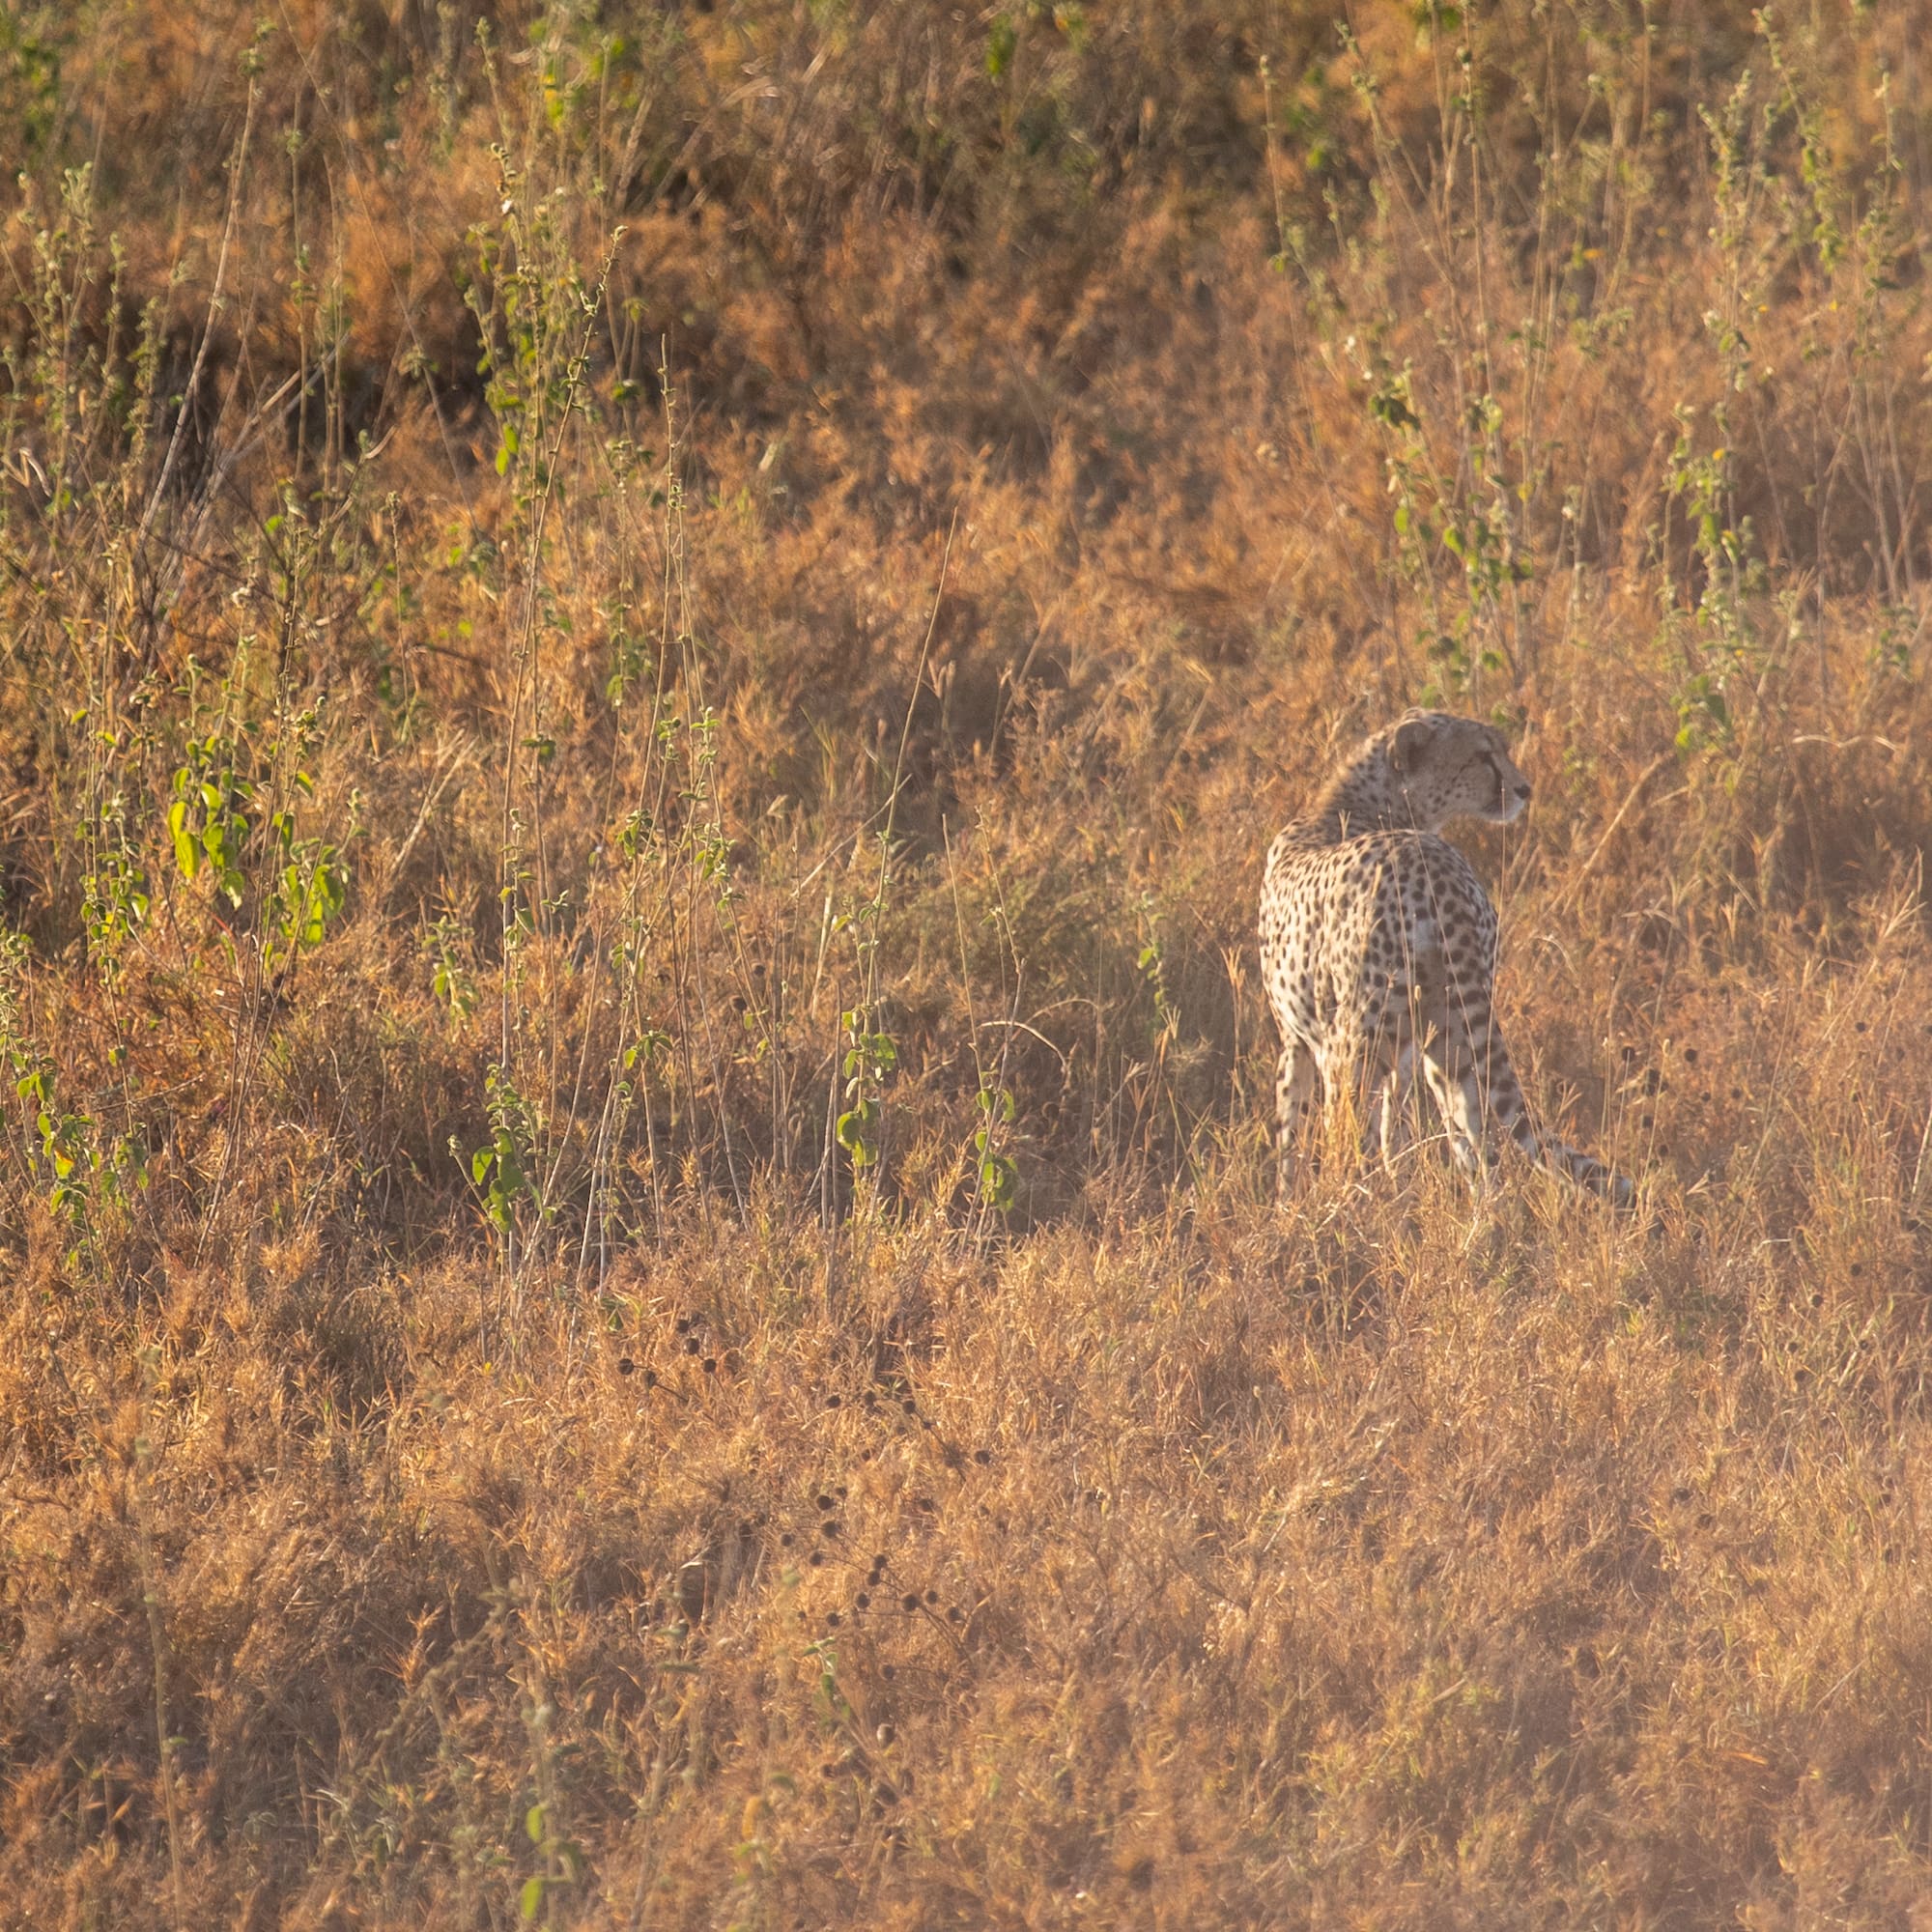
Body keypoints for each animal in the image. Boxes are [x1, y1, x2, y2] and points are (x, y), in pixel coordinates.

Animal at [1258, 709, 1631, 1207]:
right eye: (1482, 755)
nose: (1523, 789)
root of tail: (1439, 873)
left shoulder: (1299, 1040)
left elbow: (1292, 1130)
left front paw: (1287, 1206)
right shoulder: (1400, 1052)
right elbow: (1392, 1128)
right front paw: (1397, 1187)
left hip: (1355, 1042)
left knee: (1351, 1137)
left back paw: (1349, 1207)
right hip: (1453, 1031)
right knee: (1477, 1139)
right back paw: (1485, 1217)